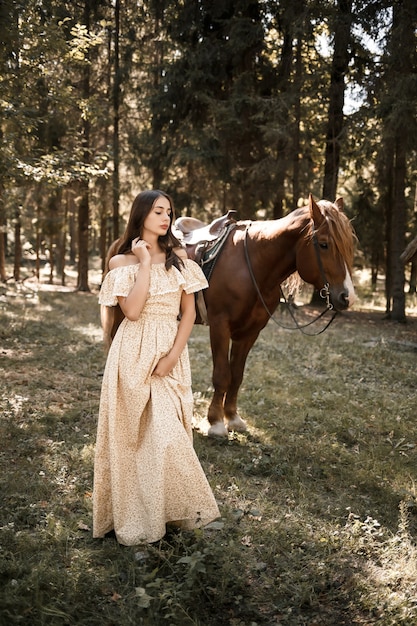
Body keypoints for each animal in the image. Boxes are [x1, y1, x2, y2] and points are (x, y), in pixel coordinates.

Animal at [100, 194, 354, 434]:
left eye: (348, 245)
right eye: (324, 244)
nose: (346, 297)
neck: (254, 266)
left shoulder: (250, 332)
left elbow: (237, 375)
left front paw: (232, 417)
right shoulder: (220, 325)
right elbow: (222, 374)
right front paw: (215, 422)